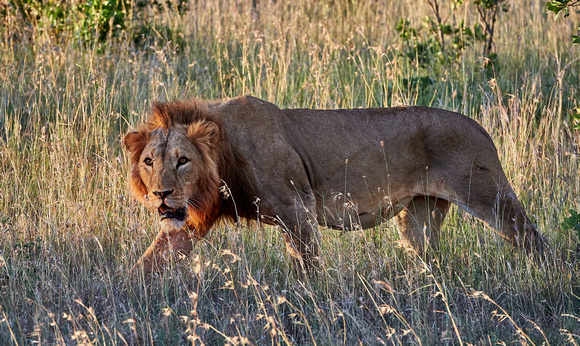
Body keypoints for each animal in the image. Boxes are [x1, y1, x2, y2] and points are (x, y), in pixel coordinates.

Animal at [124, 94, 548, 274]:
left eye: (183, 160)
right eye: (149, 161)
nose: (161, 195)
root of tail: (480, 126)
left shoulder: (297, 211)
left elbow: (308, 272)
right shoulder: (188, 221)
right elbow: (148, 262)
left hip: (490, 197)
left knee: (533, 239)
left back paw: (549, 278)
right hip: (418, 218)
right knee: (430, 258)